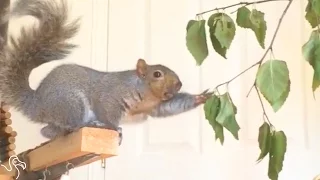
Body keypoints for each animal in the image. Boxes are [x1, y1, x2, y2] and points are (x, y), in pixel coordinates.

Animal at [0, 0, 212, 144]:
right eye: (157, 74)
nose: (179, 84)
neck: (146, 95)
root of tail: (37, 103)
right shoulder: (112, 96)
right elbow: (106, 111)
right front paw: (114, 128)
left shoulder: (156, 106)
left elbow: (172, 106)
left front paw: (200, 97)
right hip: (71, 103)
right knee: (73, 123)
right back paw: (89, 125)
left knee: (47, 130)